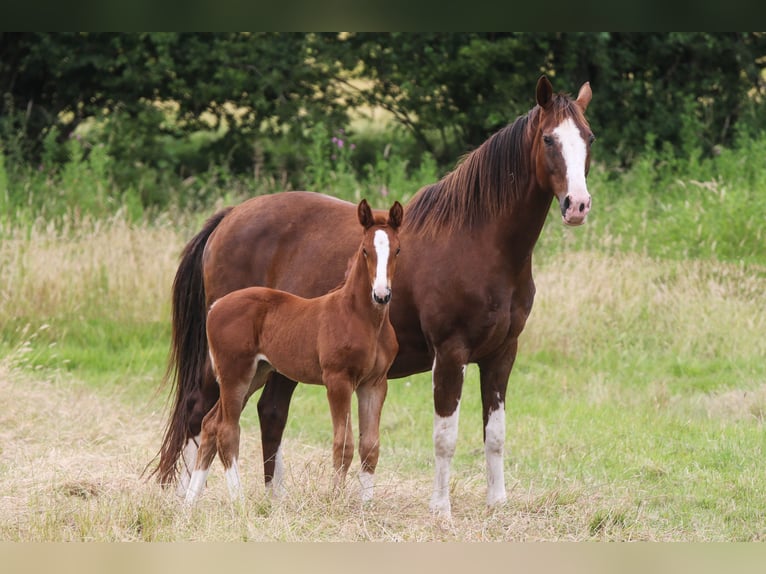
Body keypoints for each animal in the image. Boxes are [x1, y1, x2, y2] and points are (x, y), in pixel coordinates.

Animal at [153, 74, 596, 520]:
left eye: (588, 138)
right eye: (548, 139)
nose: (577, 205)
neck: (478, 242)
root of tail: (228, 218)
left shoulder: (502, 353)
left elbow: (495, 434)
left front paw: (497, 503)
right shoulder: (450, 352)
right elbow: (445, 436)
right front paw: (441, 510)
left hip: (275, 363)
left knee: (269, 413)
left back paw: (273, 499)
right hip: (229, 365)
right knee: (201, 412)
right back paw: (187, 500)